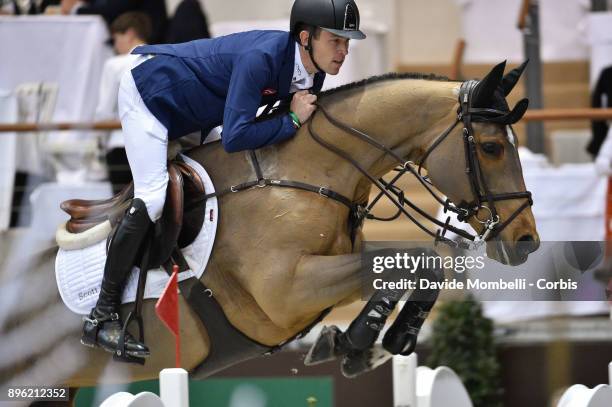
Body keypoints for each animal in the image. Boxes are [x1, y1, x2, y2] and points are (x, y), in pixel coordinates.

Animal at [0, 60, 536, 404]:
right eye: (491, 147)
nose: (526, 241)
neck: (305, 173)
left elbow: (418, 265)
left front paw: (372, 344)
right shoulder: (286, 293)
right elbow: (416, 260)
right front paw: (357, 340)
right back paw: (107, 329)